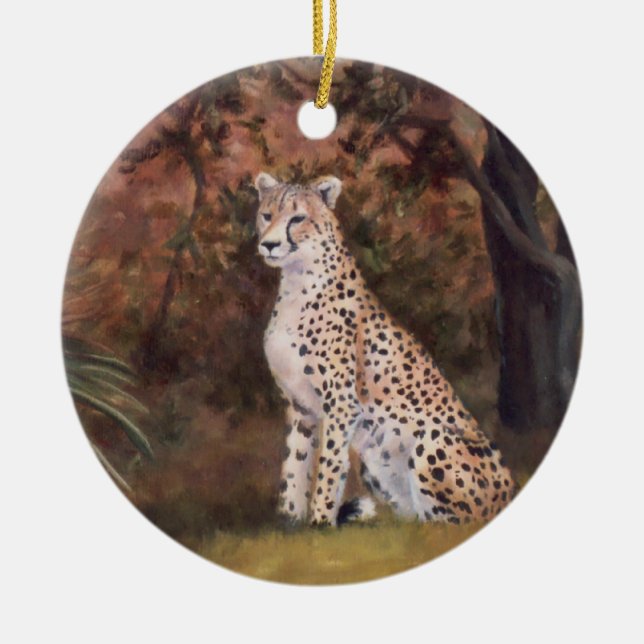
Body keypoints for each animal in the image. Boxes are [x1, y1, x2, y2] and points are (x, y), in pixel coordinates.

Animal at [255, 172, 517, 527]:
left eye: (297, 219)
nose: (268, 244)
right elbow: (295, 465)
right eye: (266, 215)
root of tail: (509, 491)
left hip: (432, 440)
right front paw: (290, 521)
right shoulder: (301, 407)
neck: (297, 282)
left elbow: (329, 465)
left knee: (453, 522)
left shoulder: (341, 404)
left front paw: (321, 522)